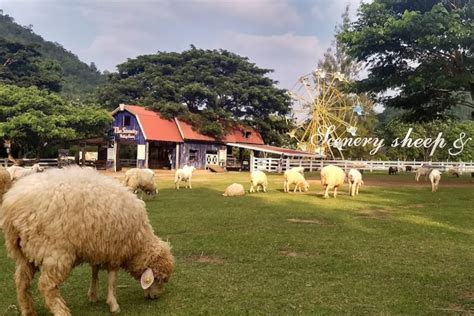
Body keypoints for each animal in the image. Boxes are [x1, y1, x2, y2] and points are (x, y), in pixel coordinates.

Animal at [0, 167, 174, 314]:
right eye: (158, 279)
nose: (155, 297)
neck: (139, 241)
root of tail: (12, 206)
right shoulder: (115, 250)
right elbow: (112, 280)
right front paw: (113, 304)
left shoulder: (98, 247)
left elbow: (94, 272)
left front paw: (93, 295)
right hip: (55, 252)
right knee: (46, 286)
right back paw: (61, 311)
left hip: (24, 252)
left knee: (21, 282)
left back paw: (28, 311)